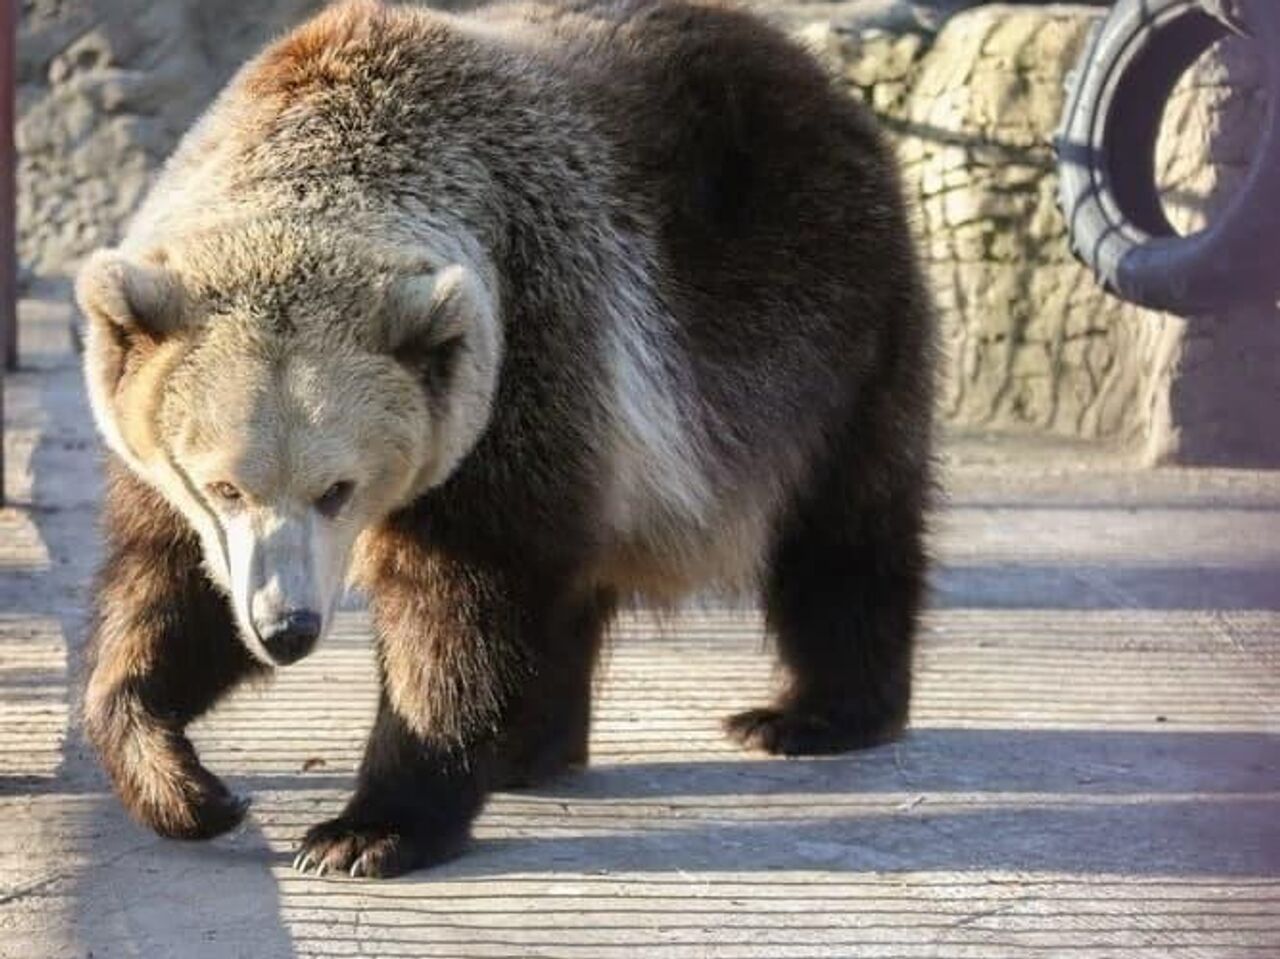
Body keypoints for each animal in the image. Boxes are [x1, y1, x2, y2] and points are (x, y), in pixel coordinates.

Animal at [77, 0, 931, 875]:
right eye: (221, 484)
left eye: (338, 488)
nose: (288, 628)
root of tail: (809, 68)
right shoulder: (166, 458)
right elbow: (169, 590)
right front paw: (186, 784)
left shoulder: (523, 354)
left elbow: (461, 604)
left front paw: (365, 829)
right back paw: (533, 747)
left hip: (823, 321)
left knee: (841, 523)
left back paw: (811, 712)